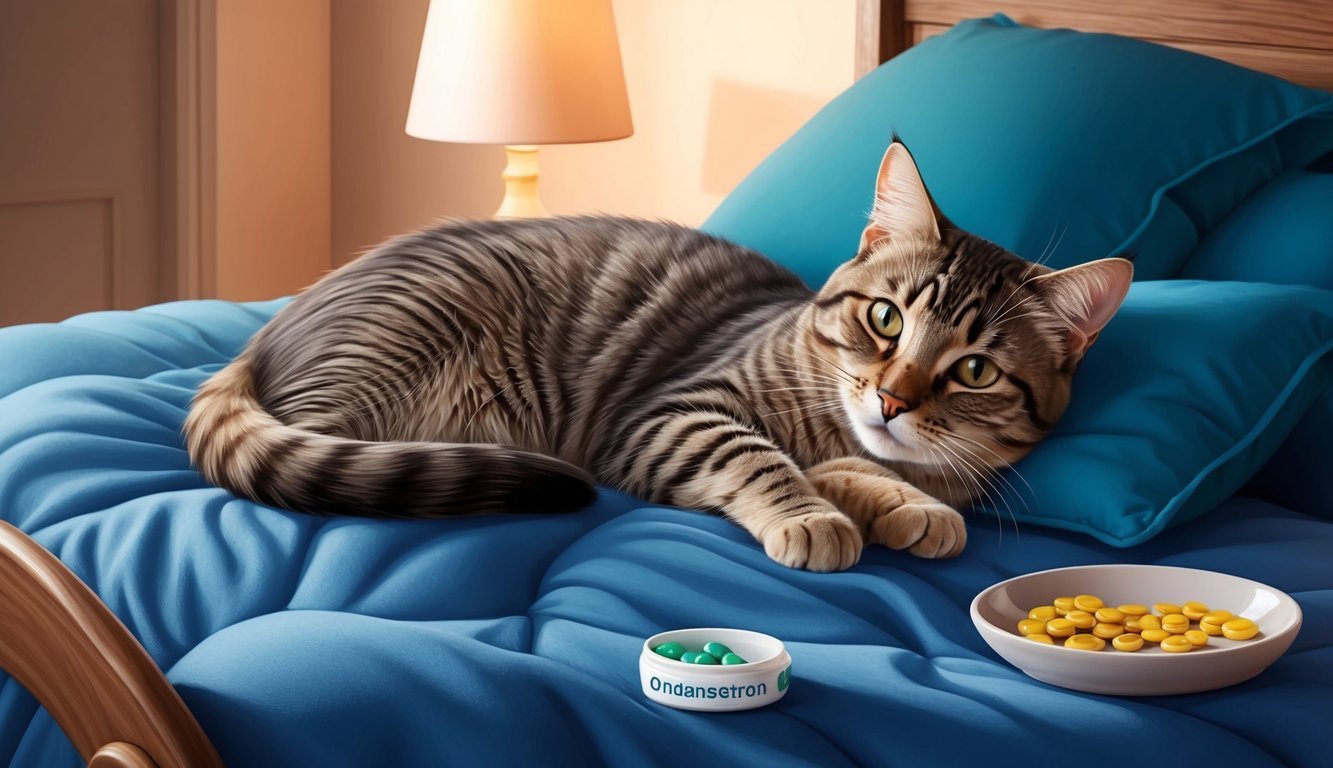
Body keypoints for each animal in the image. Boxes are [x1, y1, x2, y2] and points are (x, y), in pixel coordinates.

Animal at [182, 141, 1130, 570]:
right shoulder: (671, 414)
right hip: (394, 348)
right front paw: (815, 513)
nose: (892, 399)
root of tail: (265, 335)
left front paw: (905, 502)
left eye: (973, 370)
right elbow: (760, 457)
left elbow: (856, 471)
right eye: (886, 320)